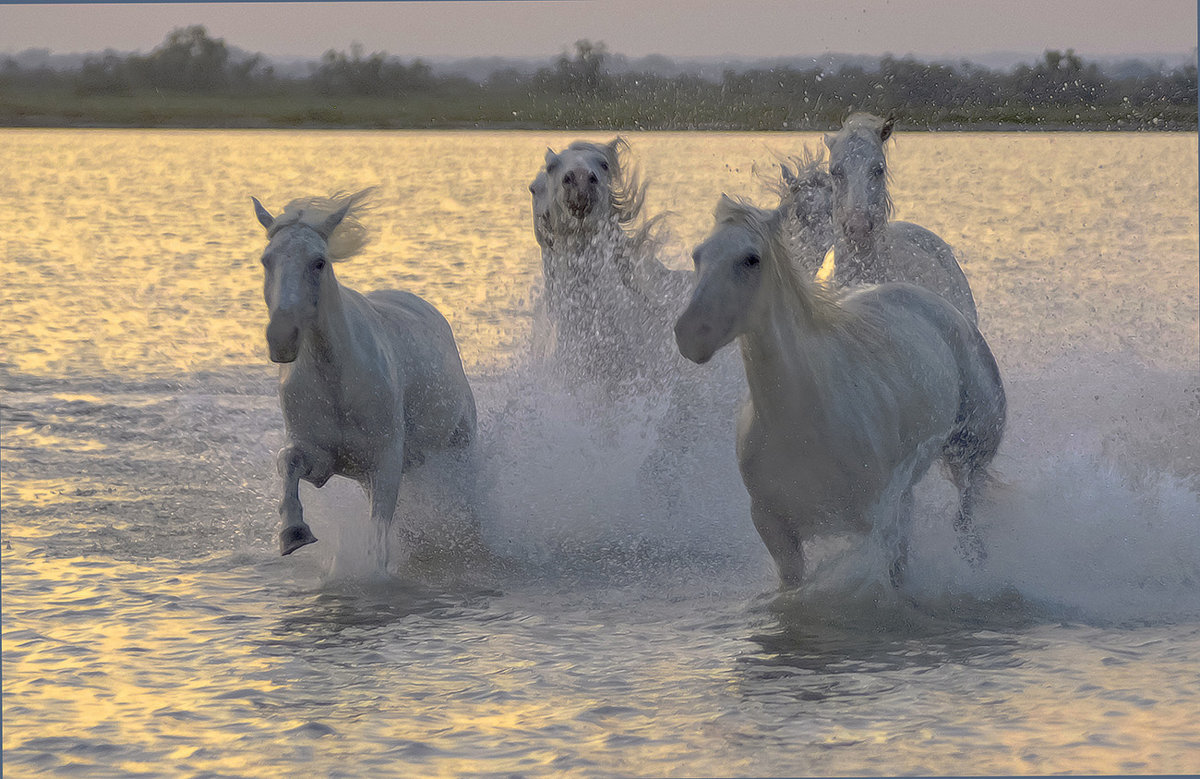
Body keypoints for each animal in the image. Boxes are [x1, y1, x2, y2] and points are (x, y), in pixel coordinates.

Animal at [250, 189, 475, 564]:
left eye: (319, 262)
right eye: (266, 260)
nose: (281, 338)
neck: (336, 382)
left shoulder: (385, 463)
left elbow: (378, 533)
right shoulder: (323, 459)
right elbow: (288, 461)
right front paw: (293, 533)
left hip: (460, 443)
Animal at [676, 198, 1003, 585]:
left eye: (750, 258)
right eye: (698, 255)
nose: (690, 334)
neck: (804, 420)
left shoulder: (877, 525)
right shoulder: (776, 534)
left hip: (970, 456)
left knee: (966, 514)